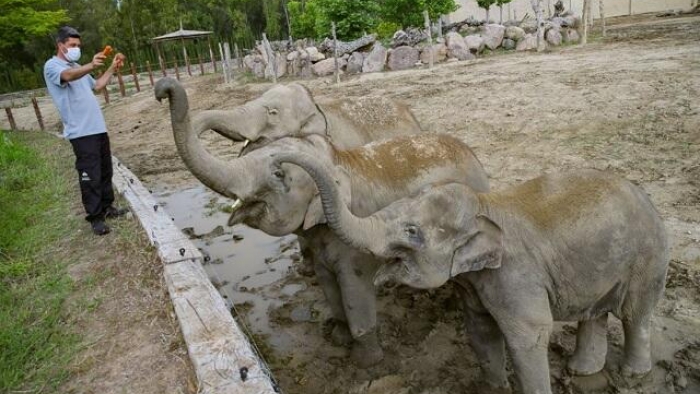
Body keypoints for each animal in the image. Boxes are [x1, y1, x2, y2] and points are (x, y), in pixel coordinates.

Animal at [153, 77, 490, 366]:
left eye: (279, 173)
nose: (161, 89)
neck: (336, 159)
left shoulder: (354, 244)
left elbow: (354, 292)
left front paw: (367, 364)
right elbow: (328, 285)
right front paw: (338, 338)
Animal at [272, 153, 668, 394]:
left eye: (412, 231)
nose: (277, 167)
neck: (485, 205)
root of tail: (644, 194)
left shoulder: (516, 275)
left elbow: (530, 336)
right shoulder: (475, 284)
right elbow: (480, 331)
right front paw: (492, 387)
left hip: (648, 255)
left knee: (635, 314)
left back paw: (632, 375)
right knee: (595, 312)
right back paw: (582, 371)